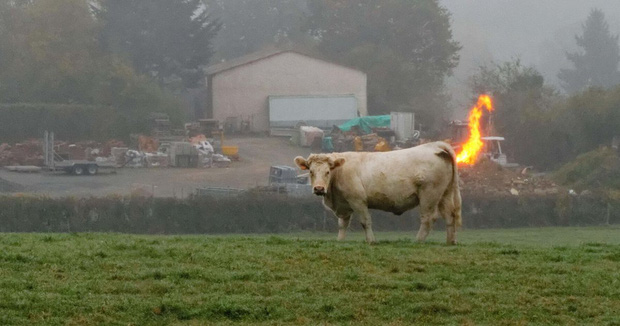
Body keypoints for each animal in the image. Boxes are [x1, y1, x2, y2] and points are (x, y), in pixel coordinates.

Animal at [294, 141, 460, 243]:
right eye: (311, 171)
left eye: (327, 171)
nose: (319, 188)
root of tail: (435, 146)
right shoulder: (344, 204)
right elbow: (342, 224)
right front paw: (340, 241)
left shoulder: (358, 200)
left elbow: (365, 221)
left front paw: (371, 241)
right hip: (444, 194)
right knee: (450, 215)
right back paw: (450, 242)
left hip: (429, 195)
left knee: (428, 218)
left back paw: (418, 241)